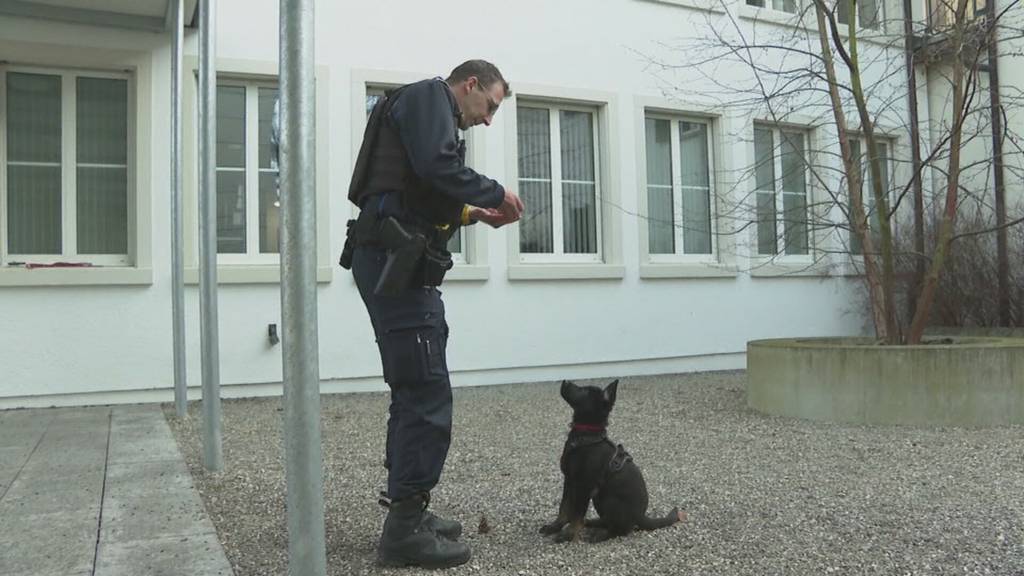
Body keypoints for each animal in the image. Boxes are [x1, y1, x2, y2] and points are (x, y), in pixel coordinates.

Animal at [540, 379, 684, 541]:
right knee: (609, 521)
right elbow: (564, 507)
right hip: (598, 498)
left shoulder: (583, 486)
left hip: (608, 500)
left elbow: (577, 513)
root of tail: (641, 516)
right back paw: (592, 523)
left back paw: (600, 535)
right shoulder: (569, 481)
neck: (587, 436)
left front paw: (568, 534)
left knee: (621, 529)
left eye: (585, 390)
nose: (565, 381)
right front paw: (554, 527)